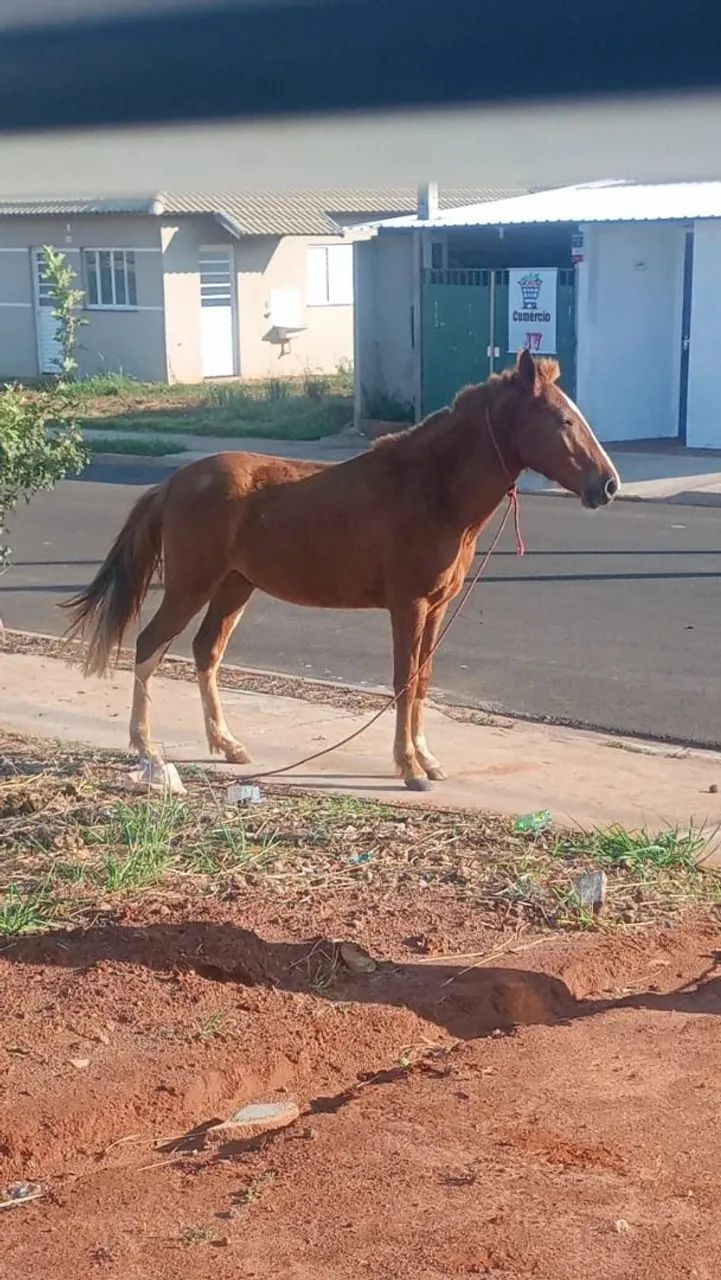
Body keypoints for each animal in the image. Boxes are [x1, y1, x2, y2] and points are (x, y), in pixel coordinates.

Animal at [63, 350, 620, 790]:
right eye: (564, 421)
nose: (609, 485)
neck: (430, 490)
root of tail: (173, 482)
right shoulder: (408, 605)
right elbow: (403, 680)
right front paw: (409, 768)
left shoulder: (437, 608)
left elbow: (422, 680)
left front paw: (428, 760)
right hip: (191, 585)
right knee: (149, 646)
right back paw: (145, 748)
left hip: (234, 588)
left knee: (206, 652)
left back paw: (228, 744)